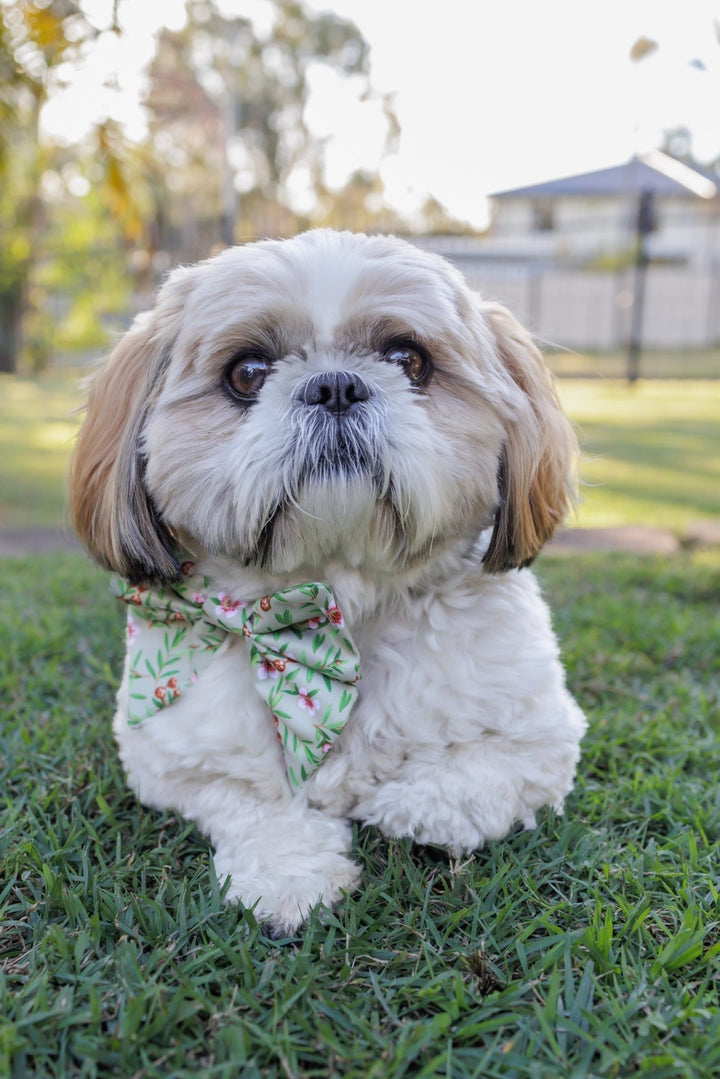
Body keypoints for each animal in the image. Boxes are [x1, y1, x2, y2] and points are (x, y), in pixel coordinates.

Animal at [69, 229, 587, 936]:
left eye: (408, 359)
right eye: (247, 373)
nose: (336, 385)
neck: (333, 611)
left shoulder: (542, 735)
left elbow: (477, 775)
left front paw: (410, 802)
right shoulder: (169, 759)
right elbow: (247, 800)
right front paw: (287, 874)